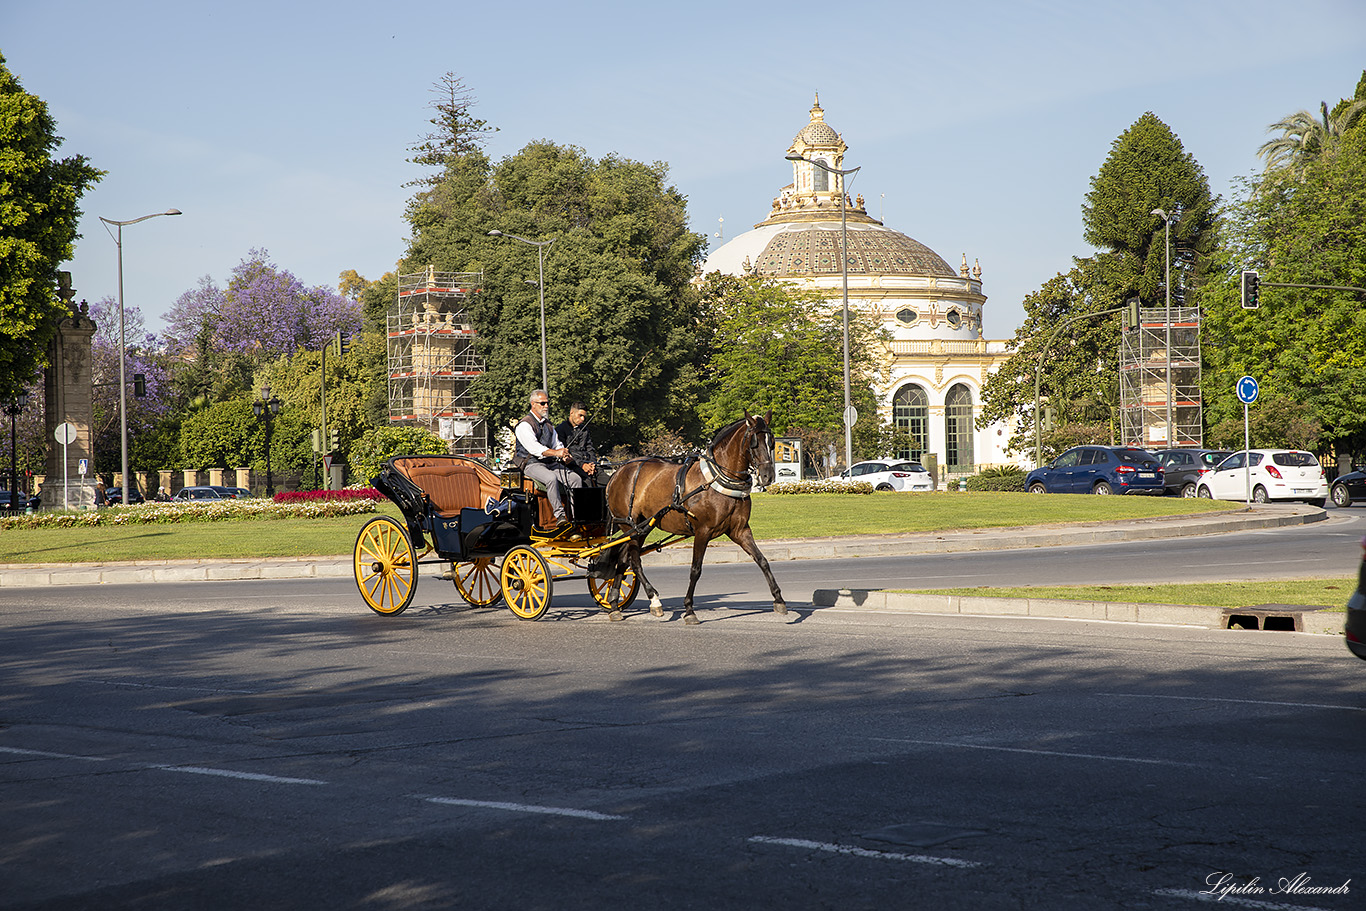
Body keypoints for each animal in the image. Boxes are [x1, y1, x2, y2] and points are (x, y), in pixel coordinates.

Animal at [606, 415, 786, 622]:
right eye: (753, 442)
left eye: (771, 442)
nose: (768, 476)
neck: (717, 478)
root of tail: (618, 472)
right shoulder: (703, 532)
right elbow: (695, 570)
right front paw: (689, 609)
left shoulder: (740, 530)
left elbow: (762, 560)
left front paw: (778, 598)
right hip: (630, 526)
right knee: (634, 561)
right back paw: (653, 600)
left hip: (642, 527)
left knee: (622, 560)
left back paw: (614, 604)